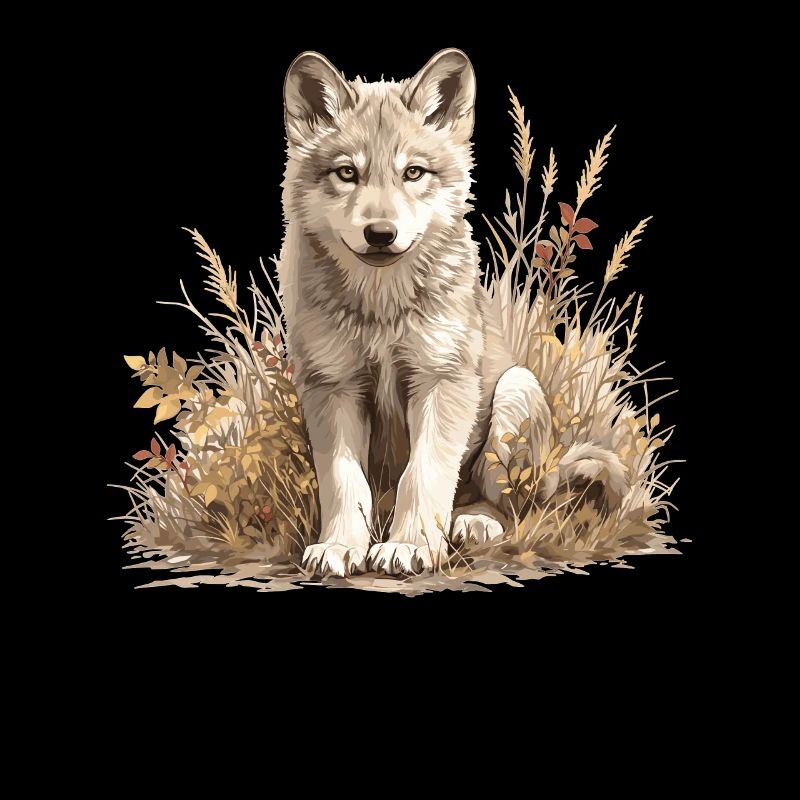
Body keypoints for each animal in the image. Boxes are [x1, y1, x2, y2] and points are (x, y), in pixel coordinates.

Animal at [279, 49, 626, 577]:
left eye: (413, 173)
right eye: (347, 173)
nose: (380, 233)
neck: (382, 308)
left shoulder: (442, 380)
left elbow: (423, 474)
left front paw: (409, 546)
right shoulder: (332, 386)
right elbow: (343, 482)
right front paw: (340, 546)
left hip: (515, 392)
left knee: (509, 507)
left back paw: (474, 522)